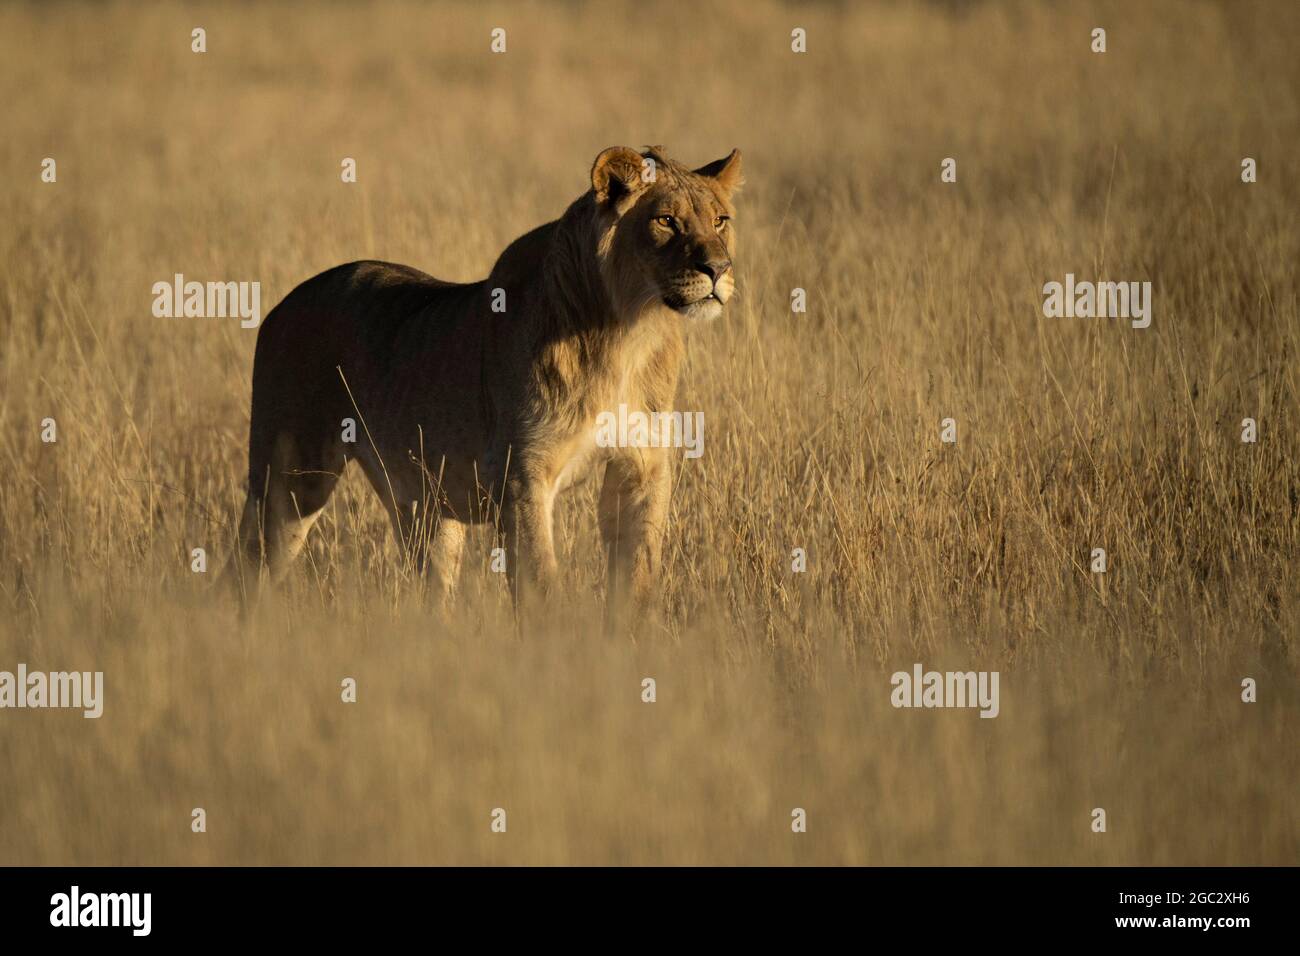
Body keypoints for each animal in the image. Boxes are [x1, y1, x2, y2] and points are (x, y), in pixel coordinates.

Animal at [232, 147, 743, 613]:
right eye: (666, 221)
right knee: (244, 571)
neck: (630, 331)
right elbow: (540, 587)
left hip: (426, 506)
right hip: (292, 482)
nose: (718, 269)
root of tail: (282, 304)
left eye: (720, 220)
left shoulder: (642, 467)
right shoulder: (522, 476)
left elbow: (636, 579)